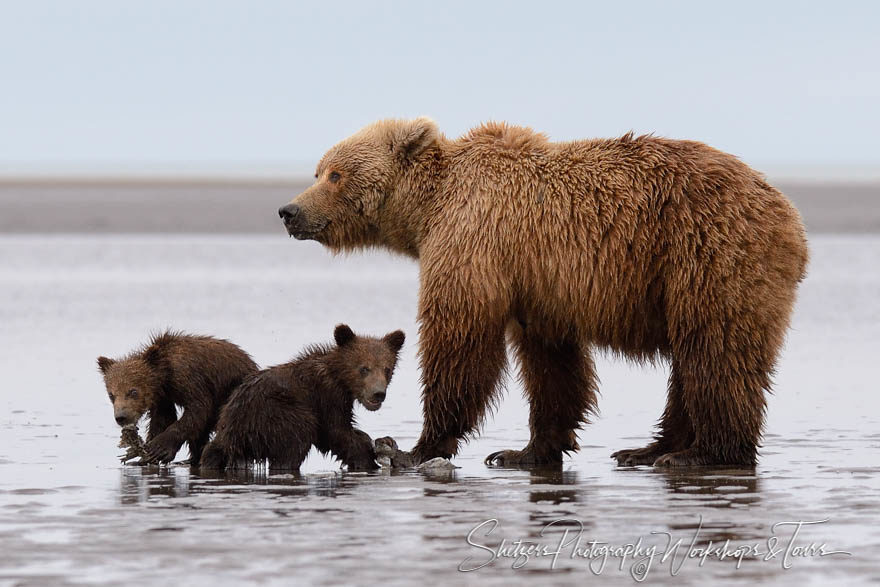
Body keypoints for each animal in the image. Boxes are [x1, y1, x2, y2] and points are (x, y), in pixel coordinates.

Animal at [278, 118, 808, 468]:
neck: (427, 210)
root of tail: (791, 219)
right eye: (318, 170)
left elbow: (460, 338)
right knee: (692, 360)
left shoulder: (474, 239)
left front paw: (414, 446)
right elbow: (551, 366)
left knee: (716, 352)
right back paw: (648, 447)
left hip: (709, 258)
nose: (288, 211)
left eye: (335, 174)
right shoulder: (537, 286)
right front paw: (523, 451)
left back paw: (703, 454)